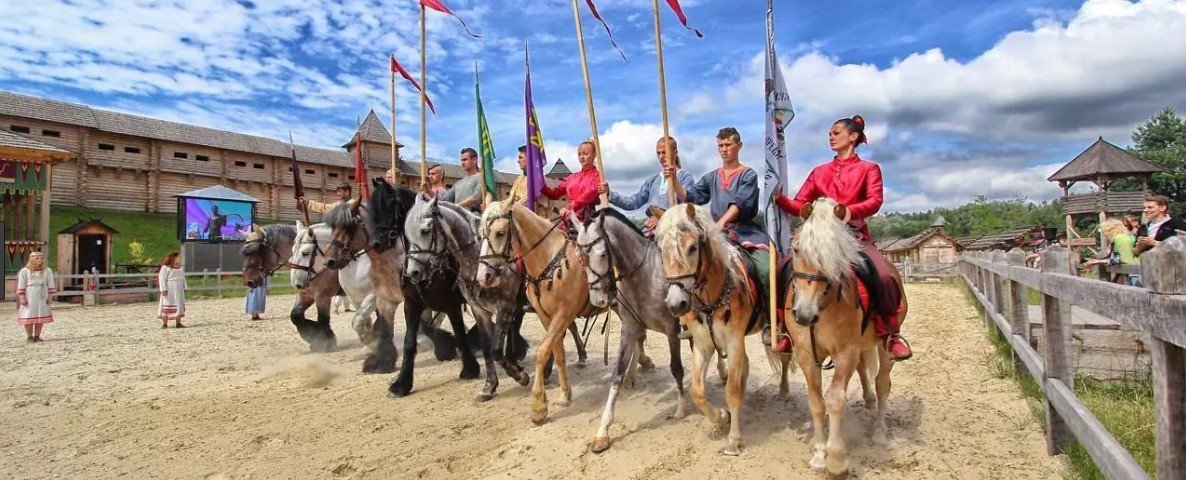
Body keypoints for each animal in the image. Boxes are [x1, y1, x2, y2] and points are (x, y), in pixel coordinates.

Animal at [477, 201, 601, 424]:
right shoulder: (547, 317)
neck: (549, 258)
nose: (483, 276)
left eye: (500, 233)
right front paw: (564, 395)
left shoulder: (563, 314)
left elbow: (543, 351)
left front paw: (538, 406)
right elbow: (558, 353)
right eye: (481, 233)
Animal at [573, 208, 684, 453]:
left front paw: (681, 407)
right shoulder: (629, 330)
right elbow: (616, 375)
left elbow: (677, 369)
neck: (645, 276)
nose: (598, 300)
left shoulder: (672, 330)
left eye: (602, 254)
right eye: (580, 257)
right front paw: (602, 432)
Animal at [655, 204, 787, 456]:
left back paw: (783, 390)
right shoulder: (703, 345)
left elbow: (731, 391)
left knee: (784, 358)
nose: (676, 304)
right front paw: (722, 417)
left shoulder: (734, 341)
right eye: (662, 250)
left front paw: (734, 441)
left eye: (693, 247)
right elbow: (697, 391)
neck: (711, 301)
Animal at [785, 198, 902, 476]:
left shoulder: (846, 352)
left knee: (883, 384)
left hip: (885, 345)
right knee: (865, 373)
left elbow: (835, 400)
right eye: (796, 249)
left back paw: (880, 434)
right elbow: (816, 402)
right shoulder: (806, 355)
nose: (804, 314)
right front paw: (819, 455)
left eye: (834, 254)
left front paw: (836, 460)